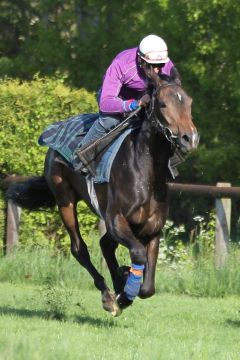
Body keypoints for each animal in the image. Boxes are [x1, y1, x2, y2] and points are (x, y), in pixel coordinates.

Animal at [7, 69, 199, 316]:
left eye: (189, 103)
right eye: (164, 104)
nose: (190, 138)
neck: (145, 172)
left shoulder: (151, 227)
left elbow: (148, 288)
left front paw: (125, 280)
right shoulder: (116, 219)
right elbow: (137, 253)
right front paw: (123, 294)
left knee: (105, 245)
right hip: (64, 198)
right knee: (79, 248)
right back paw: (109, 295)